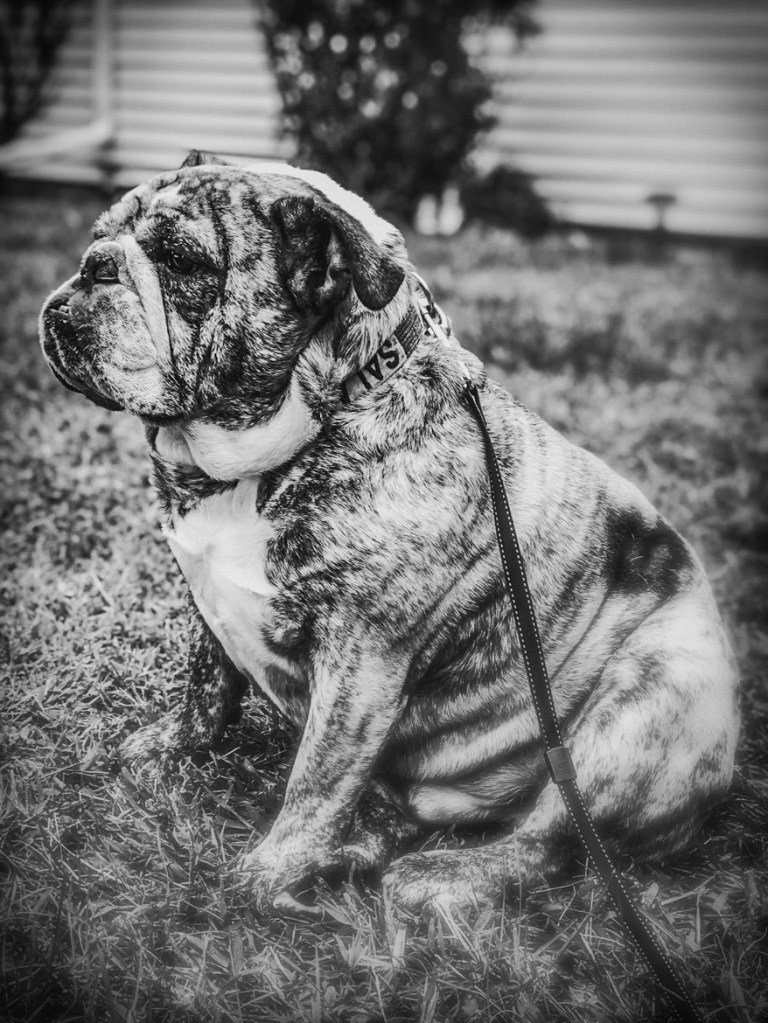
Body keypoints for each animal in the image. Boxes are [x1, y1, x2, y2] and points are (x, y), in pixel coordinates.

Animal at [39, 152, 739, 914]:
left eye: (181, 261)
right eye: (98, 237)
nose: (94, 265)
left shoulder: (363, 662)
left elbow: (316, 779)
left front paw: (264, 875)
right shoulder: (209, 603)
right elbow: (207, 689)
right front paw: (170, 746)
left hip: (653, 696)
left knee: (550, 839)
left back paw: (438, 877)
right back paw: (354, 854)